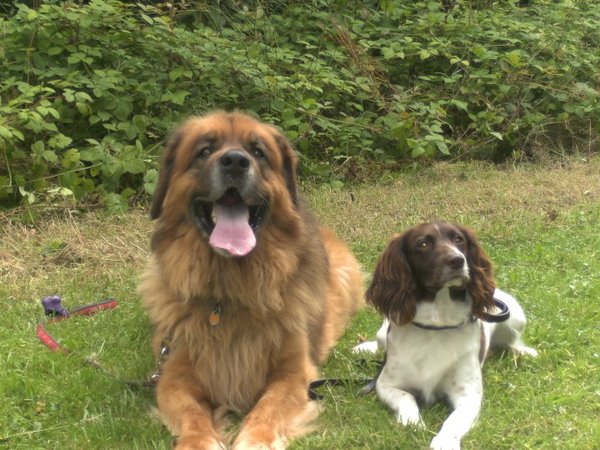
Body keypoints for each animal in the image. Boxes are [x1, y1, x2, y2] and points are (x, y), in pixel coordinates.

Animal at [138, 110, 364, 448]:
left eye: (258, 152)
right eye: (204, 150)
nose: (234, 161)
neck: (227, 295)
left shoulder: (293, 373)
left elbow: (267, 410)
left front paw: (254, 439)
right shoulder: (173, 375)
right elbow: (193, 416)